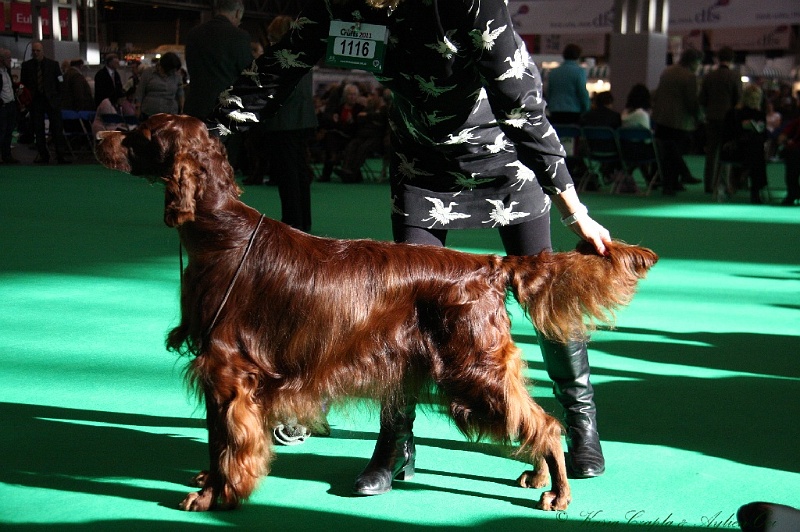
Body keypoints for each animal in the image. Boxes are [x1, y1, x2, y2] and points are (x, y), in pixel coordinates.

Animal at [95, 114, 656, 512]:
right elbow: (218, 441)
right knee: (532, 417)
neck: (218, 230)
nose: (96, 134)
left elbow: (224, 442)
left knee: (546, 423)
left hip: (473, 370)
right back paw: (537, 474)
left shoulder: (228, 370)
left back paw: (557, 490)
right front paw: (211, 485)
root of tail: (488, 265)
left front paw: (214, 495)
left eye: (139, 134)